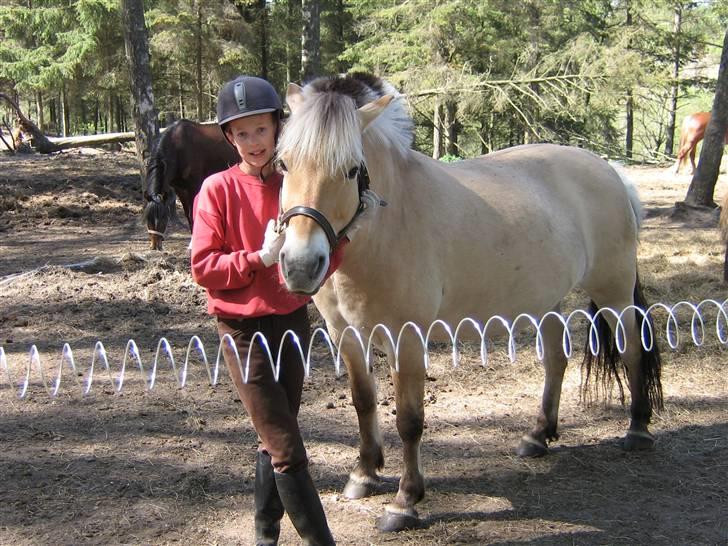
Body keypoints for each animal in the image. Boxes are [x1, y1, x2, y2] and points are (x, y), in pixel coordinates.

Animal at [144, 119, 239, 249]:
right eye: (148, 218)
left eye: (164, 218)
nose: (155, 245)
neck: (177, 148)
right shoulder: (180, 190)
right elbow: (188, 215)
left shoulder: (194, 188)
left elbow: (193, 213)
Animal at [276, 74, 664, 528]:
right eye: (284, 164)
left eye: (352, 169)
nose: (301, 265)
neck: (389, 224)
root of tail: (611, 170)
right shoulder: (347, 335)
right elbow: (363, 401)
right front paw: (365, 474)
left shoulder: (407, 339)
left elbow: (409, 419)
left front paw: (405, 501)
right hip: (548, 300)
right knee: (556, 360)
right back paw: (538, 436)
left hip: (613, 292)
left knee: (633, 350)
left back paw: (637, 429)